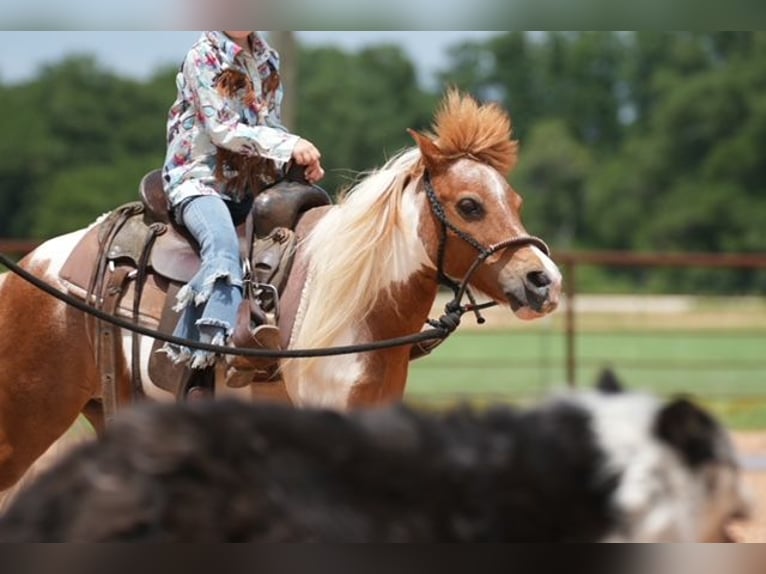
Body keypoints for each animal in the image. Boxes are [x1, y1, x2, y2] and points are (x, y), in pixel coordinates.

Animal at [0, 90, 562, 491]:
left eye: (515, 200)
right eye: (469, 205)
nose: (545, 281)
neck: (354, 306)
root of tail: (29, 268)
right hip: (24, 422)